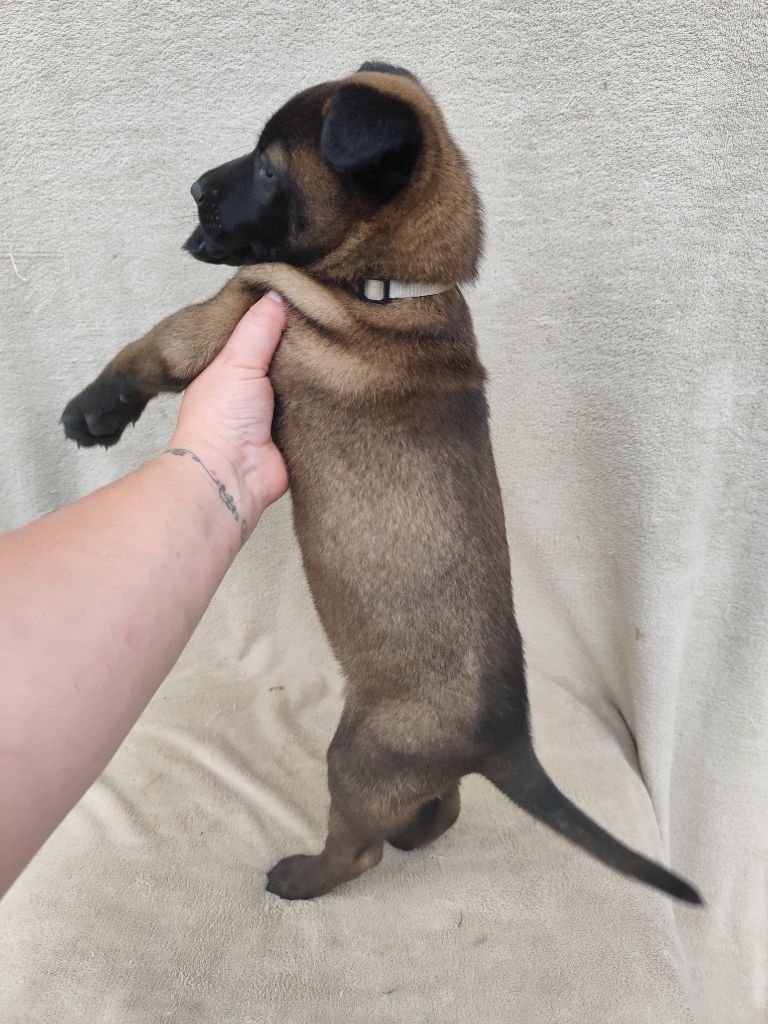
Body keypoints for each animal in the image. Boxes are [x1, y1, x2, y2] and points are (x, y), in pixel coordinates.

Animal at [61, 62, 701, 904]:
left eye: (269, 166)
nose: (196, 185)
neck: (391, 286)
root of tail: (506, 741)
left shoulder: (246, 300)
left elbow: (158, 345)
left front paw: (94, 410)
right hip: (408, 771)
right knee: (442, 810)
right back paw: (409, 835)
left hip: (358, 753)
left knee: (357, 848)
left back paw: (300, 877)